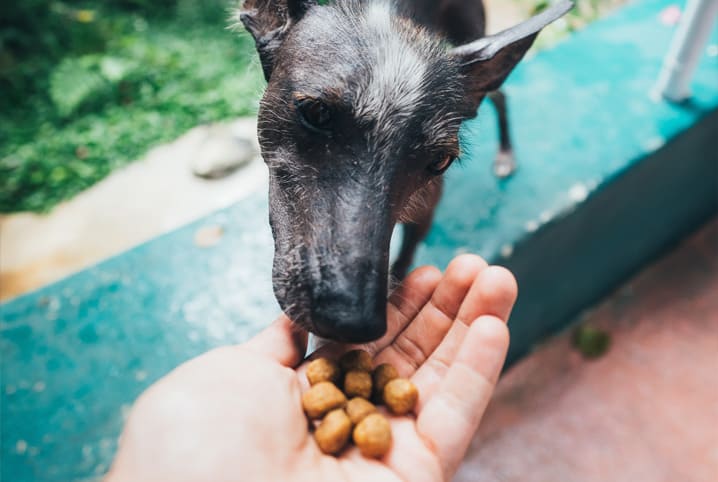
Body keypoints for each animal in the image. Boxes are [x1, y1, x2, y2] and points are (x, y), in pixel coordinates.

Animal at [238, 0, 572, 340]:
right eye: (316, 112)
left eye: (439, 160)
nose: (353, 322)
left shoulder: (425, 213)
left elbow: (402, 264)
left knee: (500, 96)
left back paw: (506, 154)